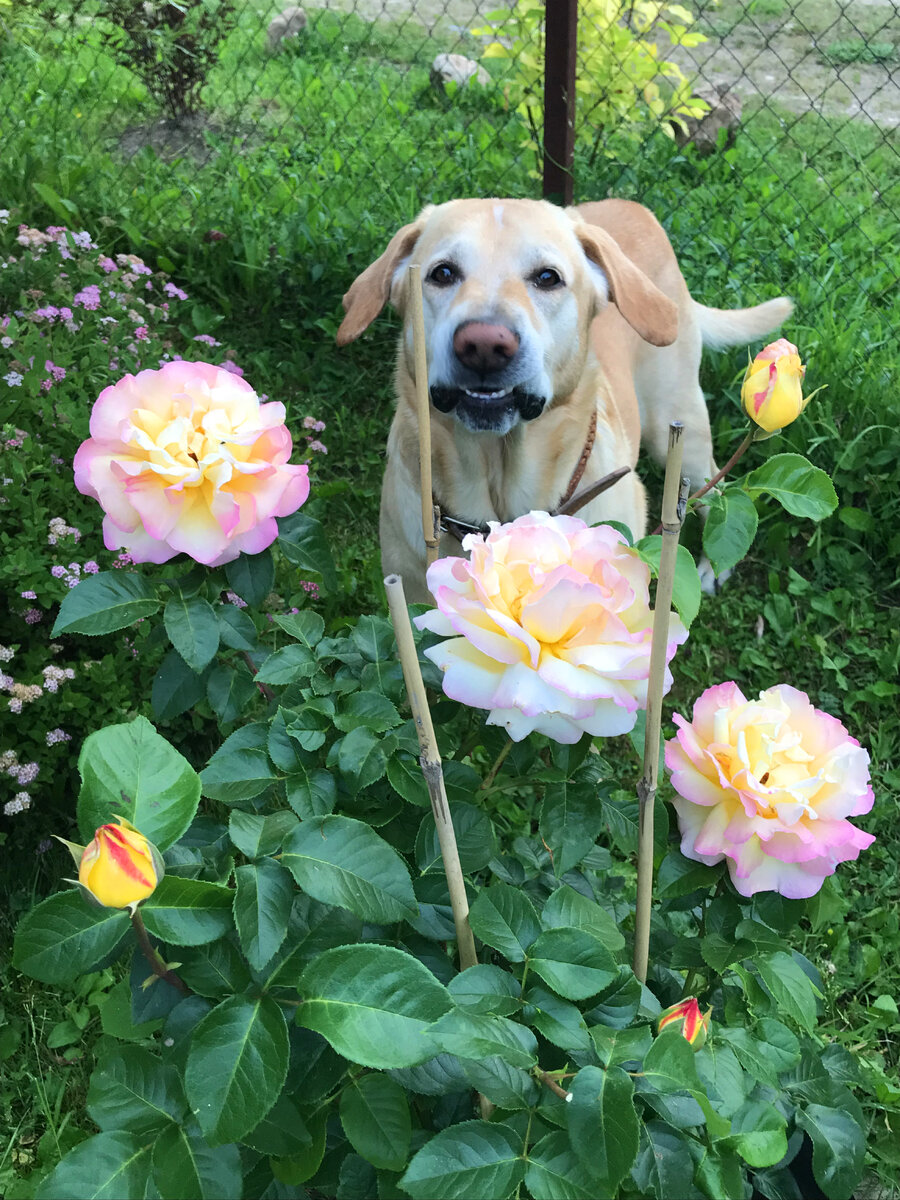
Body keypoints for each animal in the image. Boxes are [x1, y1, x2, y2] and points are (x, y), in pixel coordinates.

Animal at [336, 202, 787, 609]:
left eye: (547, 278)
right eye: (442, 273)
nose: (484, 345)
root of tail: (635, 207)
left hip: (676, 428)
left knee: (716, 484)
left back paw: (714, 565)